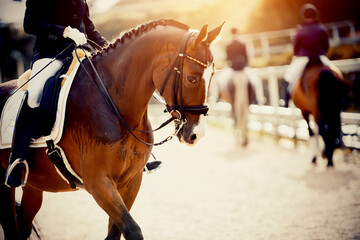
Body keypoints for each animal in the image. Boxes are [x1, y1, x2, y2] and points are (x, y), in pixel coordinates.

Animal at [0, 19, 224, 240]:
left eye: (213, 75)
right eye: (192, 78)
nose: (196, 134)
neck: (116, 105)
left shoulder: (131, 181)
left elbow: (116, 232)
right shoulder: (98, 183)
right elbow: (132, 230)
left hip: (34, 185)